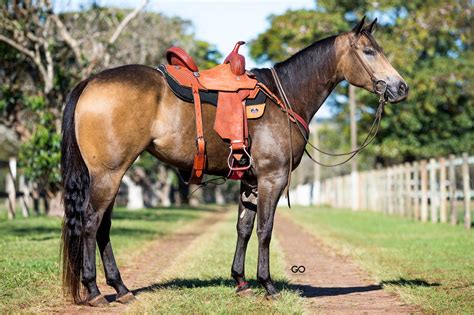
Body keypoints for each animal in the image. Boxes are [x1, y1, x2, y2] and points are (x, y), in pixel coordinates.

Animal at [60, 17, 408, 306]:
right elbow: (265, 230)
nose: (400, 87)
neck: (285, 96)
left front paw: (241, 281)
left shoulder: (250, 181)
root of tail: (90, 82)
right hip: (108, 174)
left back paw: (121, 288)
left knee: (103, 227)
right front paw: (267, 284)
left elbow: (244, 228)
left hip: (113, 175)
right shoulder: (272, 178)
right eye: (368, 51)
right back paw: (94, 291)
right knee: (90, 223)